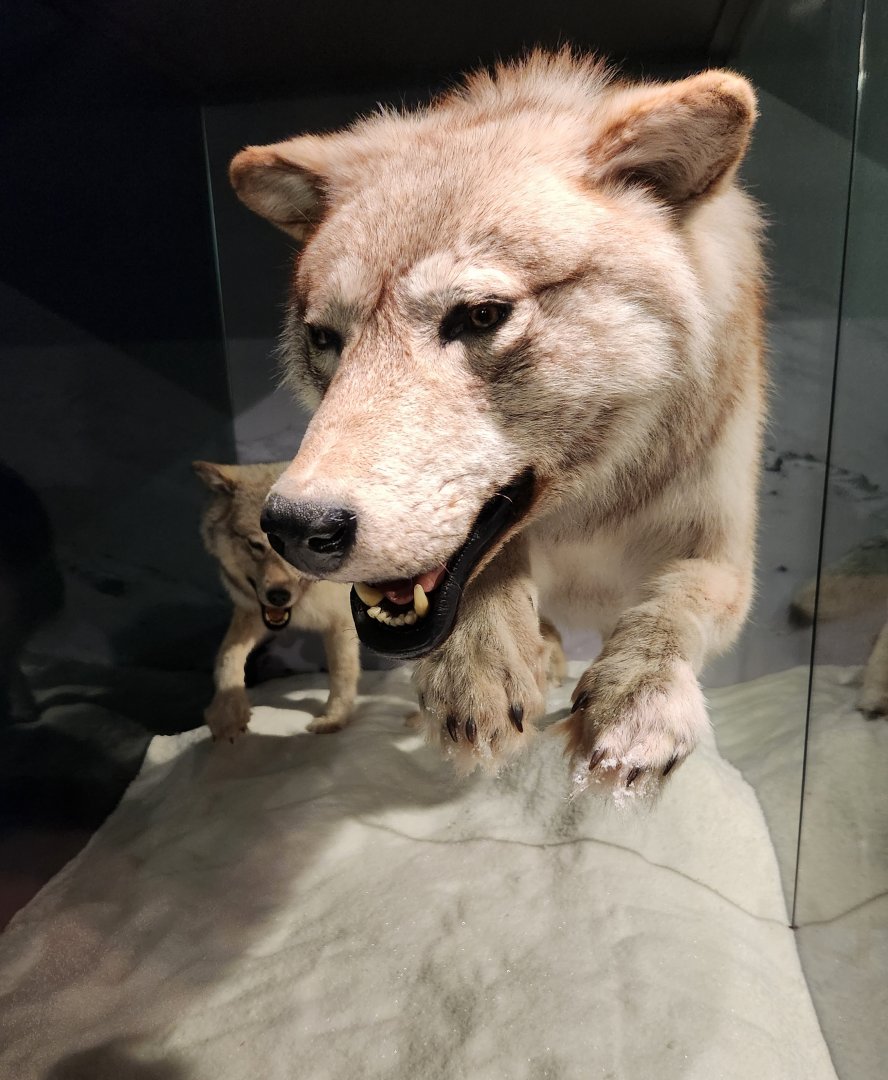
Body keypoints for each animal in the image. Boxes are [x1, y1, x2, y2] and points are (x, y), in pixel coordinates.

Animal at [194, 461, 360, 741]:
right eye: (255, 545)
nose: (278, 596)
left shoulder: (341, 623)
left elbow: (342, 673)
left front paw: (333, 719)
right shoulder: (252, 612)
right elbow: (227, 656)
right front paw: (228, 713)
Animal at [228, 51, 766, 797]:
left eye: (481, 315)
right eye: (325, 338)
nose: (297, 528)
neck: (584, 512)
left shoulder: (722, 554)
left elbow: (672, 607)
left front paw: (640, 696)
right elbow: (490, 564)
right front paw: (477, 666)